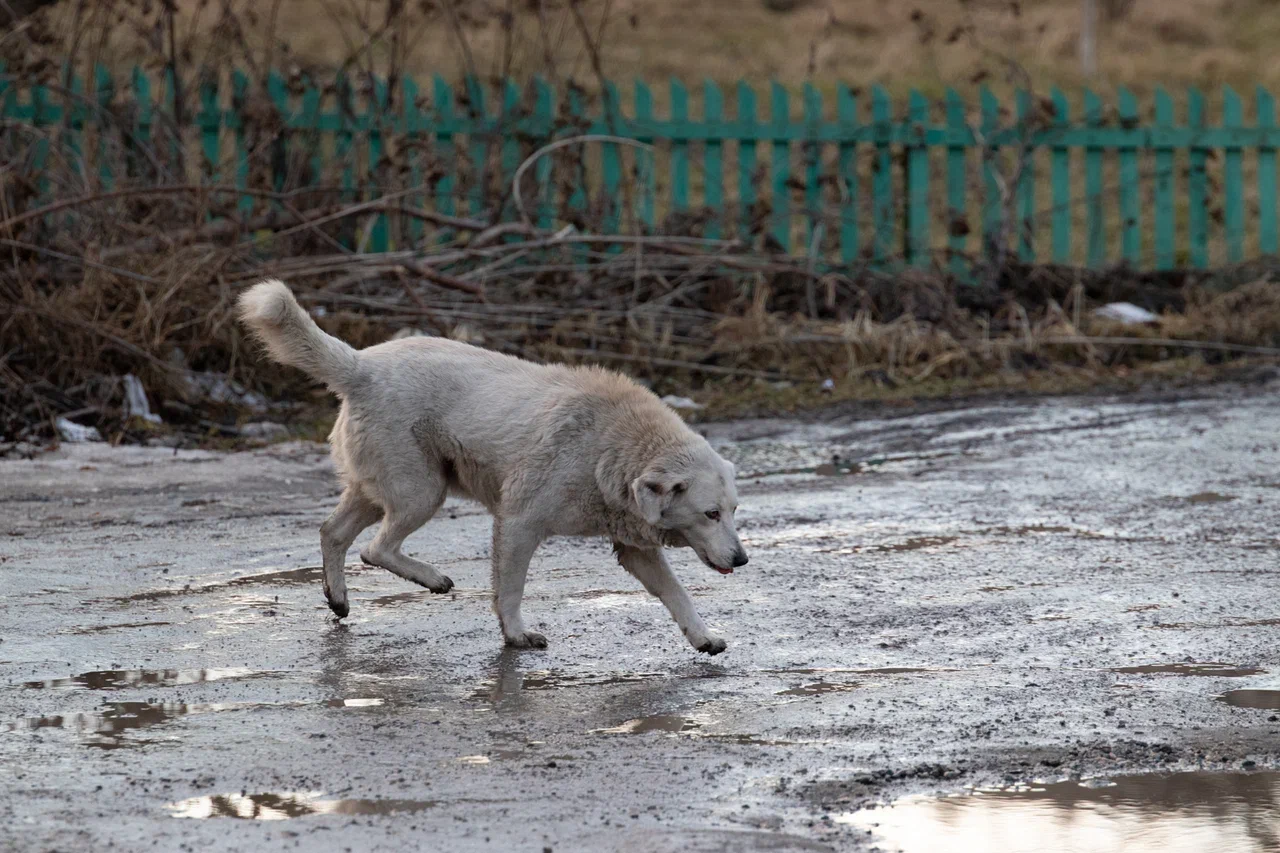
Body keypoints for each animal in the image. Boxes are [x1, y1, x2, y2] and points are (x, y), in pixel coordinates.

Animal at [238, 279, 747, 650]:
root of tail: (361, 364)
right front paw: (516, 634)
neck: (613, 446)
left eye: (733, 511)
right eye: (710, 514)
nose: (742, 559)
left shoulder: (635, 549)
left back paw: (339, 599)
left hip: (380, 489)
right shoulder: (519, 523)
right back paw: (433, 579)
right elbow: (511, 590)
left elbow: (677, 594)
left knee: (334, 533)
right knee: (375, 548)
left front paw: (704, 638)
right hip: (423, 492)